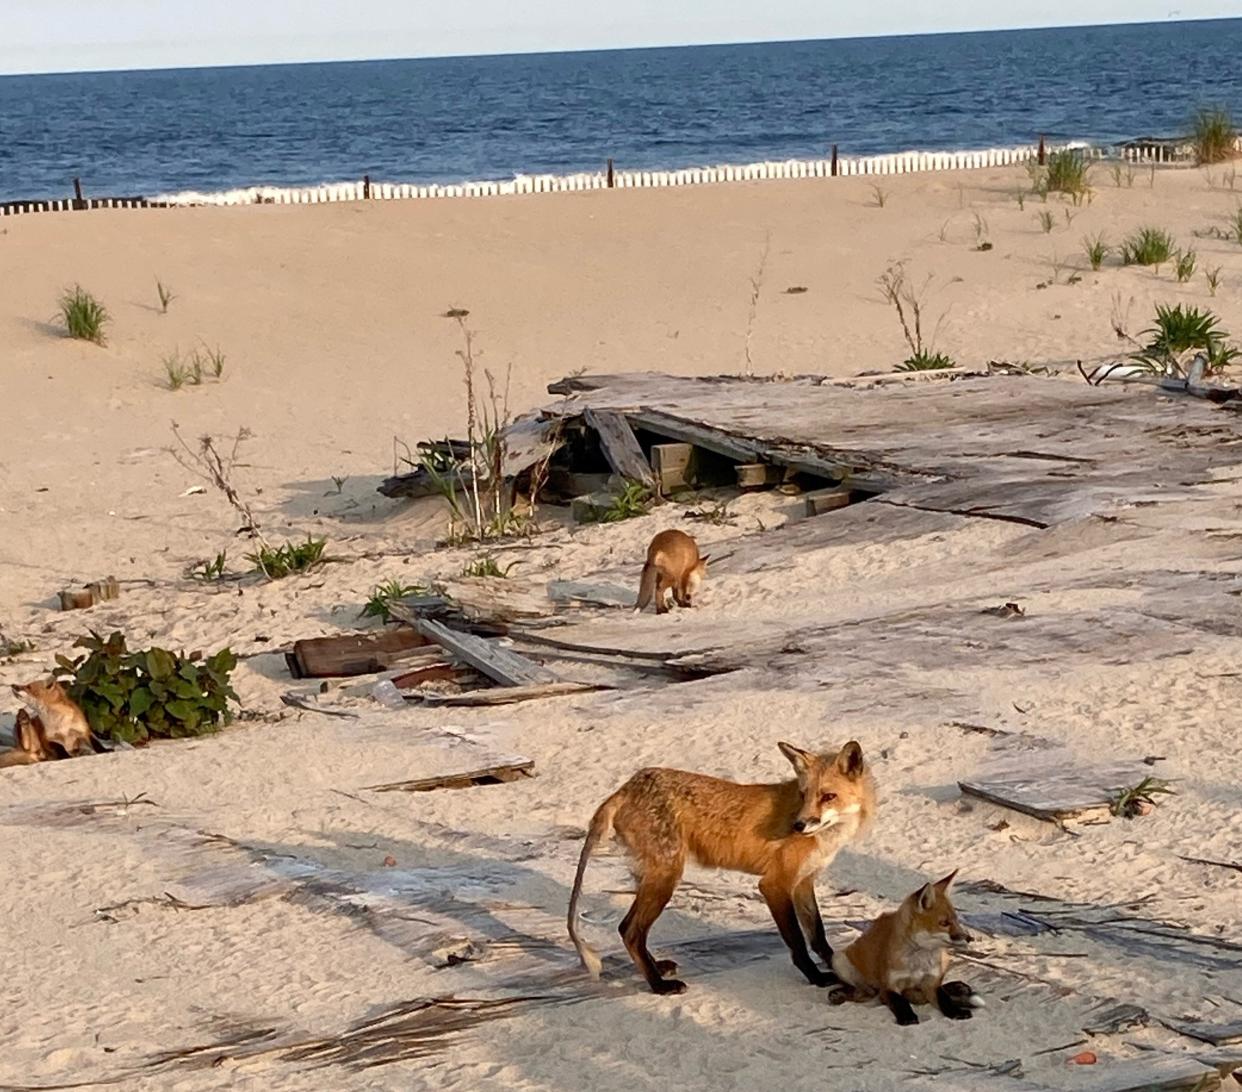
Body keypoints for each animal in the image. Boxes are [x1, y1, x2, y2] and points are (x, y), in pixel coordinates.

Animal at [566, 740, 874, 993]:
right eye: (803, 794)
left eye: (828, 796)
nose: (798, 826)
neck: (828, 838)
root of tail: (628, 786)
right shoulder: (775, 884)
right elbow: (798, 942)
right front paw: (816, 978)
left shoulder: (803, 883)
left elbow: (818, 935)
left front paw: (838, 966)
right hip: (666, 878)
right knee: (630, 931)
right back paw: (658, 986)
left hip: (650, 877)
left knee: (626, 928)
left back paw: (656, 968)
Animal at [829, 869, 983, 1023]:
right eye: (944, 923)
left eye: (956, 920)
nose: (970, 938)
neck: (917, 963)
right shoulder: (889, 985)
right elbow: (900, 1001)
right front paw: (908, 1017)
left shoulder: (931, 982)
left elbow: (944, 998)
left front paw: (955, 1011)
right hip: (839, 960)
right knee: (866, 992)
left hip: (944, 959)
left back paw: (956, 987)